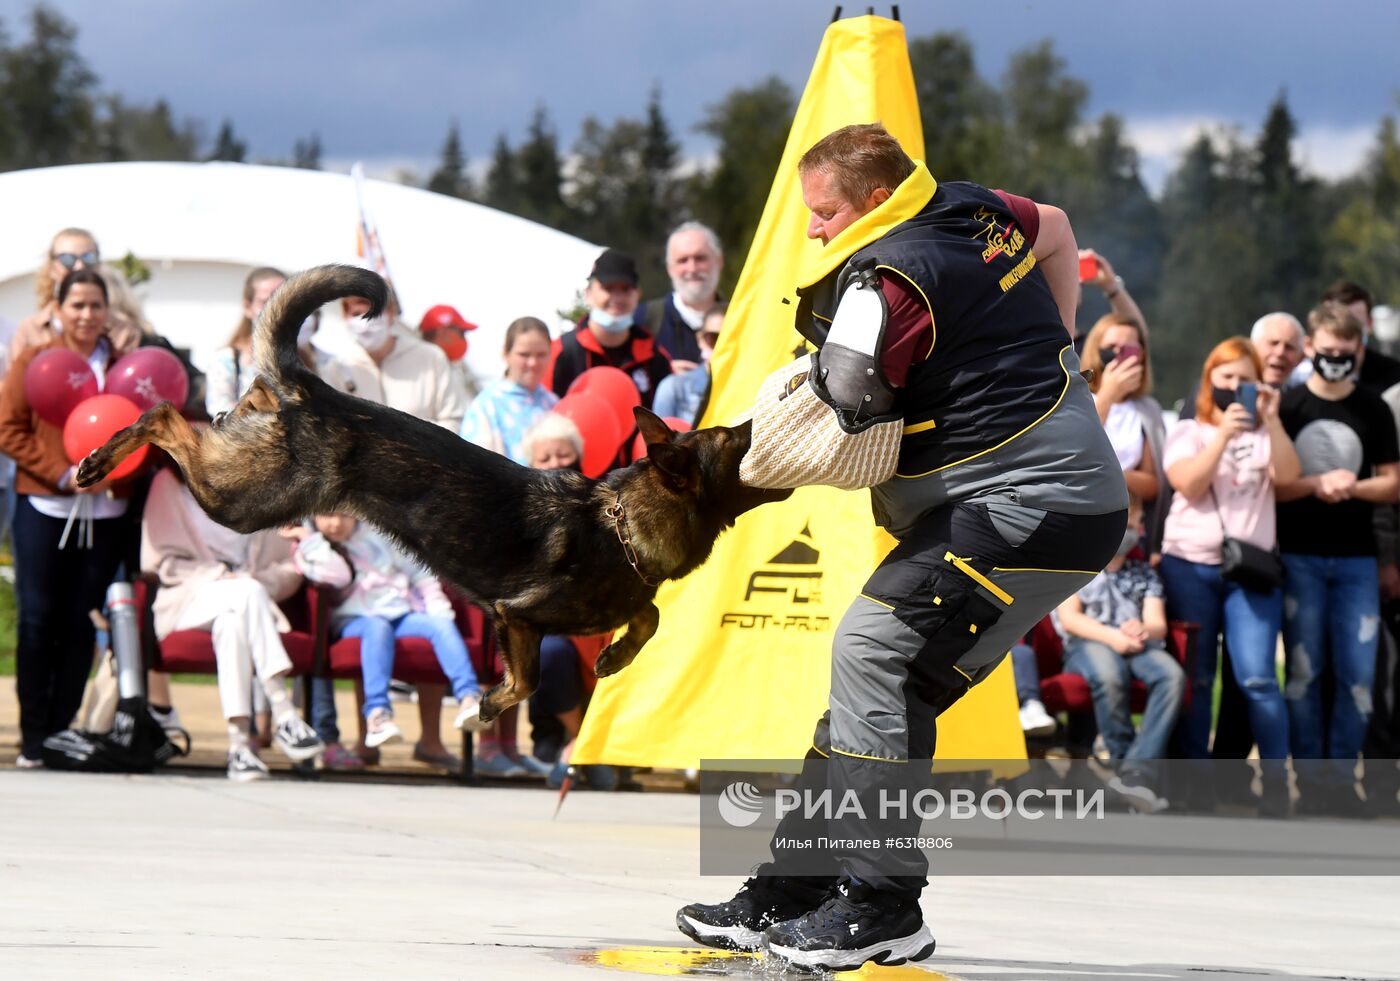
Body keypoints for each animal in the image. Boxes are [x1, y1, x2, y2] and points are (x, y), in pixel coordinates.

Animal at [76, 267, 789, 727]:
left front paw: (615, 655)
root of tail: (316, 388)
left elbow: (649, 616)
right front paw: (486, 707)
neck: (622, 528)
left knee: (213, 410)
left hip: (250, 480)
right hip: (245, 501)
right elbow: (529, 680)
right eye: (734, 442)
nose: (780, 403)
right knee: (164, 413)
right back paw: (97, 459)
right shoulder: (515, 618)